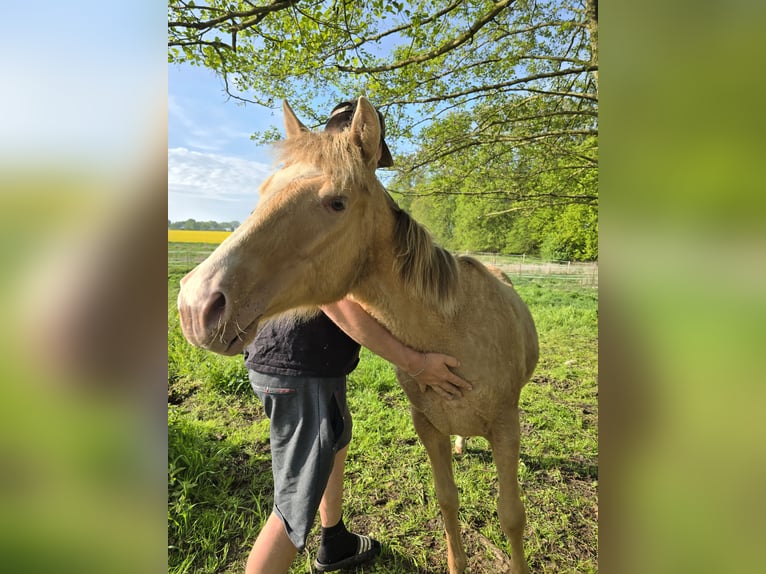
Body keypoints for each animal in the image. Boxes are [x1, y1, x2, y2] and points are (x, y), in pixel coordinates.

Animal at [177, 97, 539, 574]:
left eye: (337, 202)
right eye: (264, 190)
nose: (196, 304)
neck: (455, 331)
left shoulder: (506, 427)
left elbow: (511, 515)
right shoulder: (429, 429)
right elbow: (448, 503)